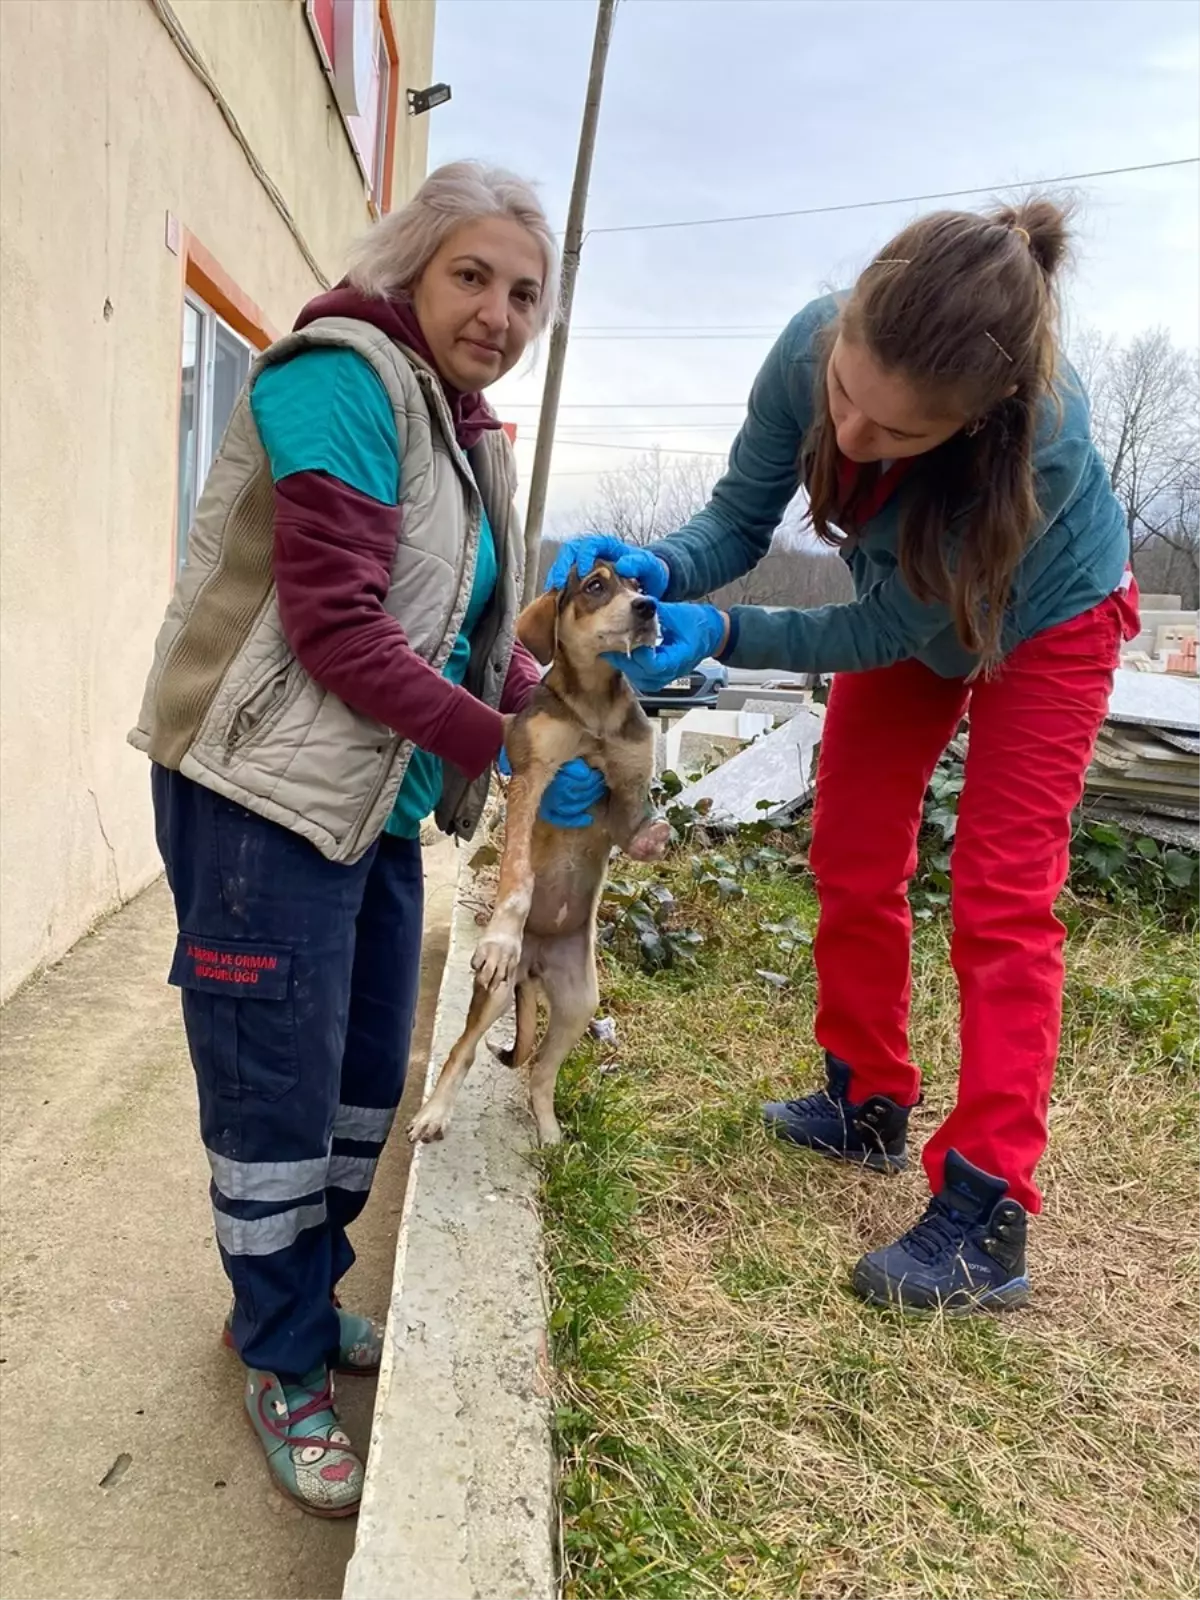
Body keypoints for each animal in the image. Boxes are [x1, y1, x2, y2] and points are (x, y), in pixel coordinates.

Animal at [409, 569, 672, 1145]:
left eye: (637, 582)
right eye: (595, 585)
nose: (648, 607)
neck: (595, 708)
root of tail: (534, 969)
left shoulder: (624, 793)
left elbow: (637, 829)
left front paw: (658, 835)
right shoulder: (531, 778)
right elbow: (519, 874)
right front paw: (502, 935)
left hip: (579, 1005)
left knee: (541, 1072)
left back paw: (551, 1136)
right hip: (495, 995)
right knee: (461, 1053)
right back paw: (434, 1114)